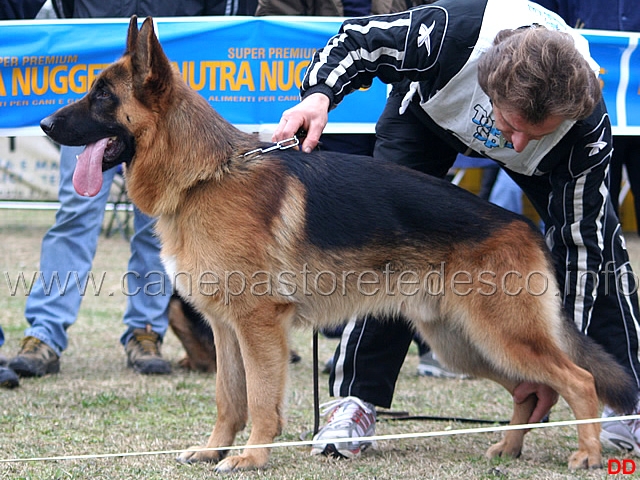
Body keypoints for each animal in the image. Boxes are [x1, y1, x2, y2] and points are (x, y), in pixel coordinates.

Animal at [42, 15, 636, 472]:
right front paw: (214, 451)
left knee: (578, 379)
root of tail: (524, 226)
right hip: (463, 343)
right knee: (534, 391)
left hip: (500, 335)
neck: (207, 176)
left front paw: (251, 457)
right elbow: (228, 400)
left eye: (102, 96)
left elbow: (261, 402)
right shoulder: (225, 328)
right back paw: (509, 449)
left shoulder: (258, 326)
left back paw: (588, 452)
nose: (45, 124)